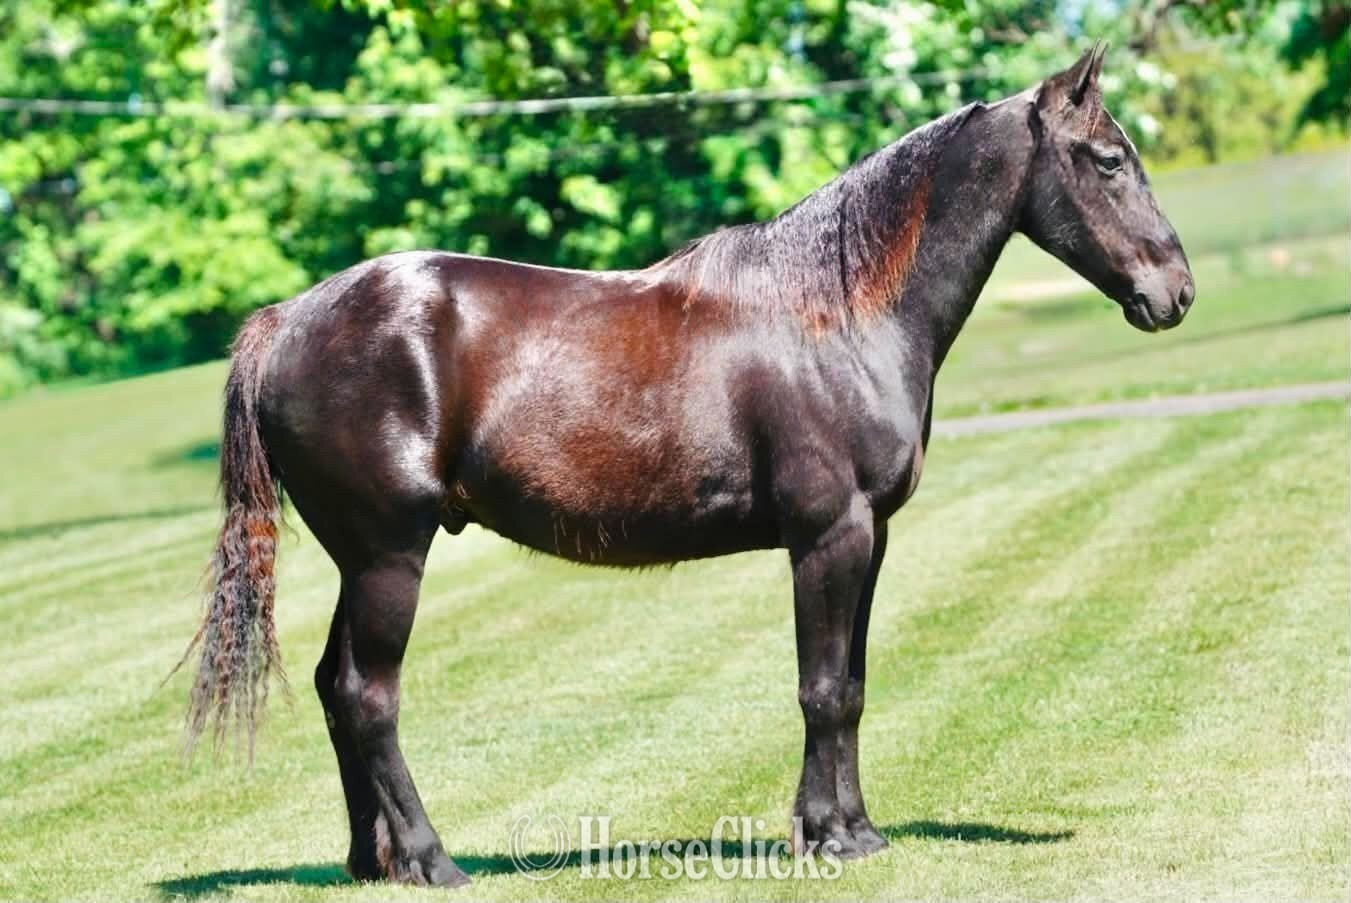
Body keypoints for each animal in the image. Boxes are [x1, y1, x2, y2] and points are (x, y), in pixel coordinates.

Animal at [180, 46, 1193, 886]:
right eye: (1108, 160)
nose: (1175, 293)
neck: (836, 313)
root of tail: (285, 321)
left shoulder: (870, 536)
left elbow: (851, 686)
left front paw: (854, 829)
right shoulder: (828, 536)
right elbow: (820, 687)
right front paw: (826, 837)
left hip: (362, 560)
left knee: (332, 686)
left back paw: (374, 860)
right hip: (392, 555)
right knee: (369, 696)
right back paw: (433, 861)